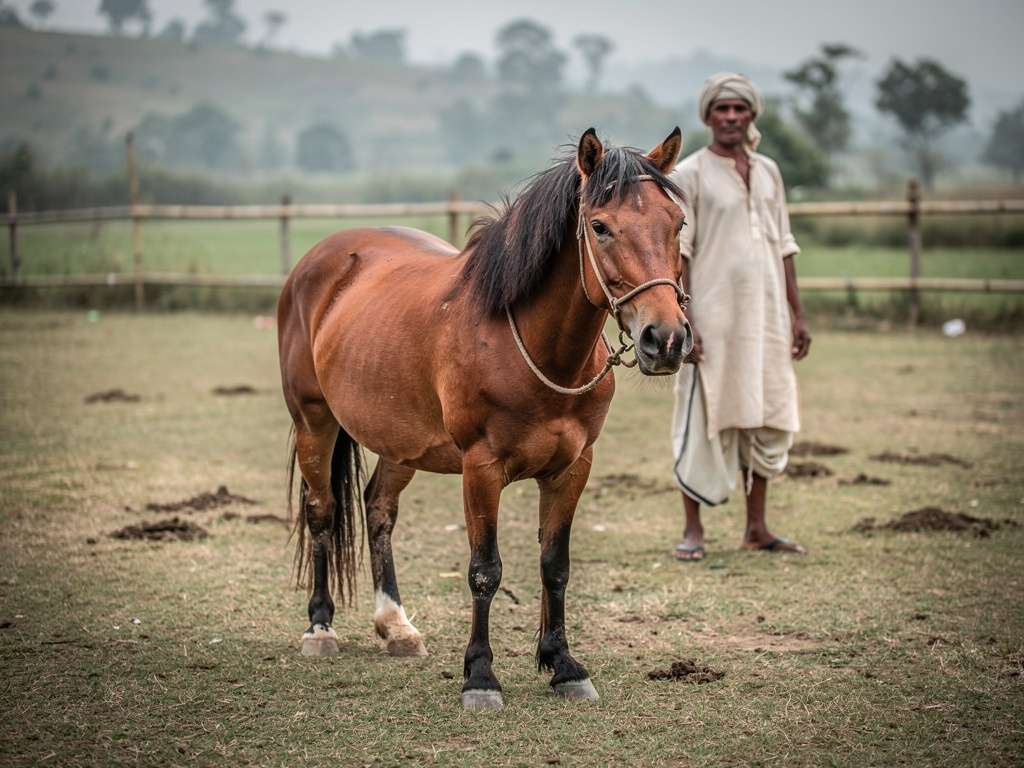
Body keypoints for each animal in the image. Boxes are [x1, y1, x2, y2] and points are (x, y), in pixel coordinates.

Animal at [277, 128, 692, 710]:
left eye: (677, 224)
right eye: (600, 226)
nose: (667, 339)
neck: (532, 349)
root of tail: (318, 260)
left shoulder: (573, 469)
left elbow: (555, 566)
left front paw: (563, 665)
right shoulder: (481, 469)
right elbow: (484, 571)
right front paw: (480, 676)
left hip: (400, 441)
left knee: (378, 510)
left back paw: (395, 625)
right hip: (313, 422)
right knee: (322, 512)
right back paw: (320, 628)